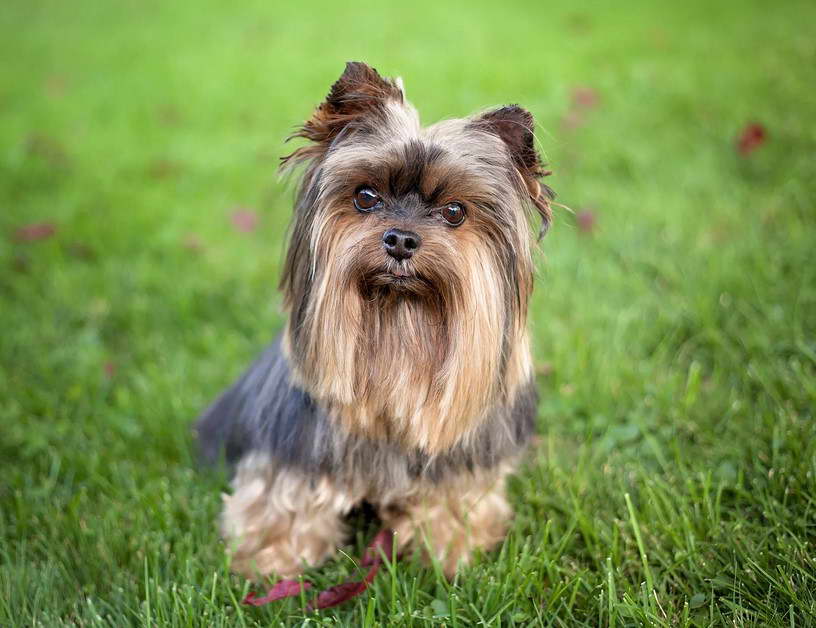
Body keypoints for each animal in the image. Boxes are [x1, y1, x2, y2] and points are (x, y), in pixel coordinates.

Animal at [198, 61, 556, 576]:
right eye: (366, 196)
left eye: (454, 211)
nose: (401, 239)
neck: (399, 328)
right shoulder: (298, 451)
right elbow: (285, 501)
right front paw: (270, 562)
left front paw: (448, 550)